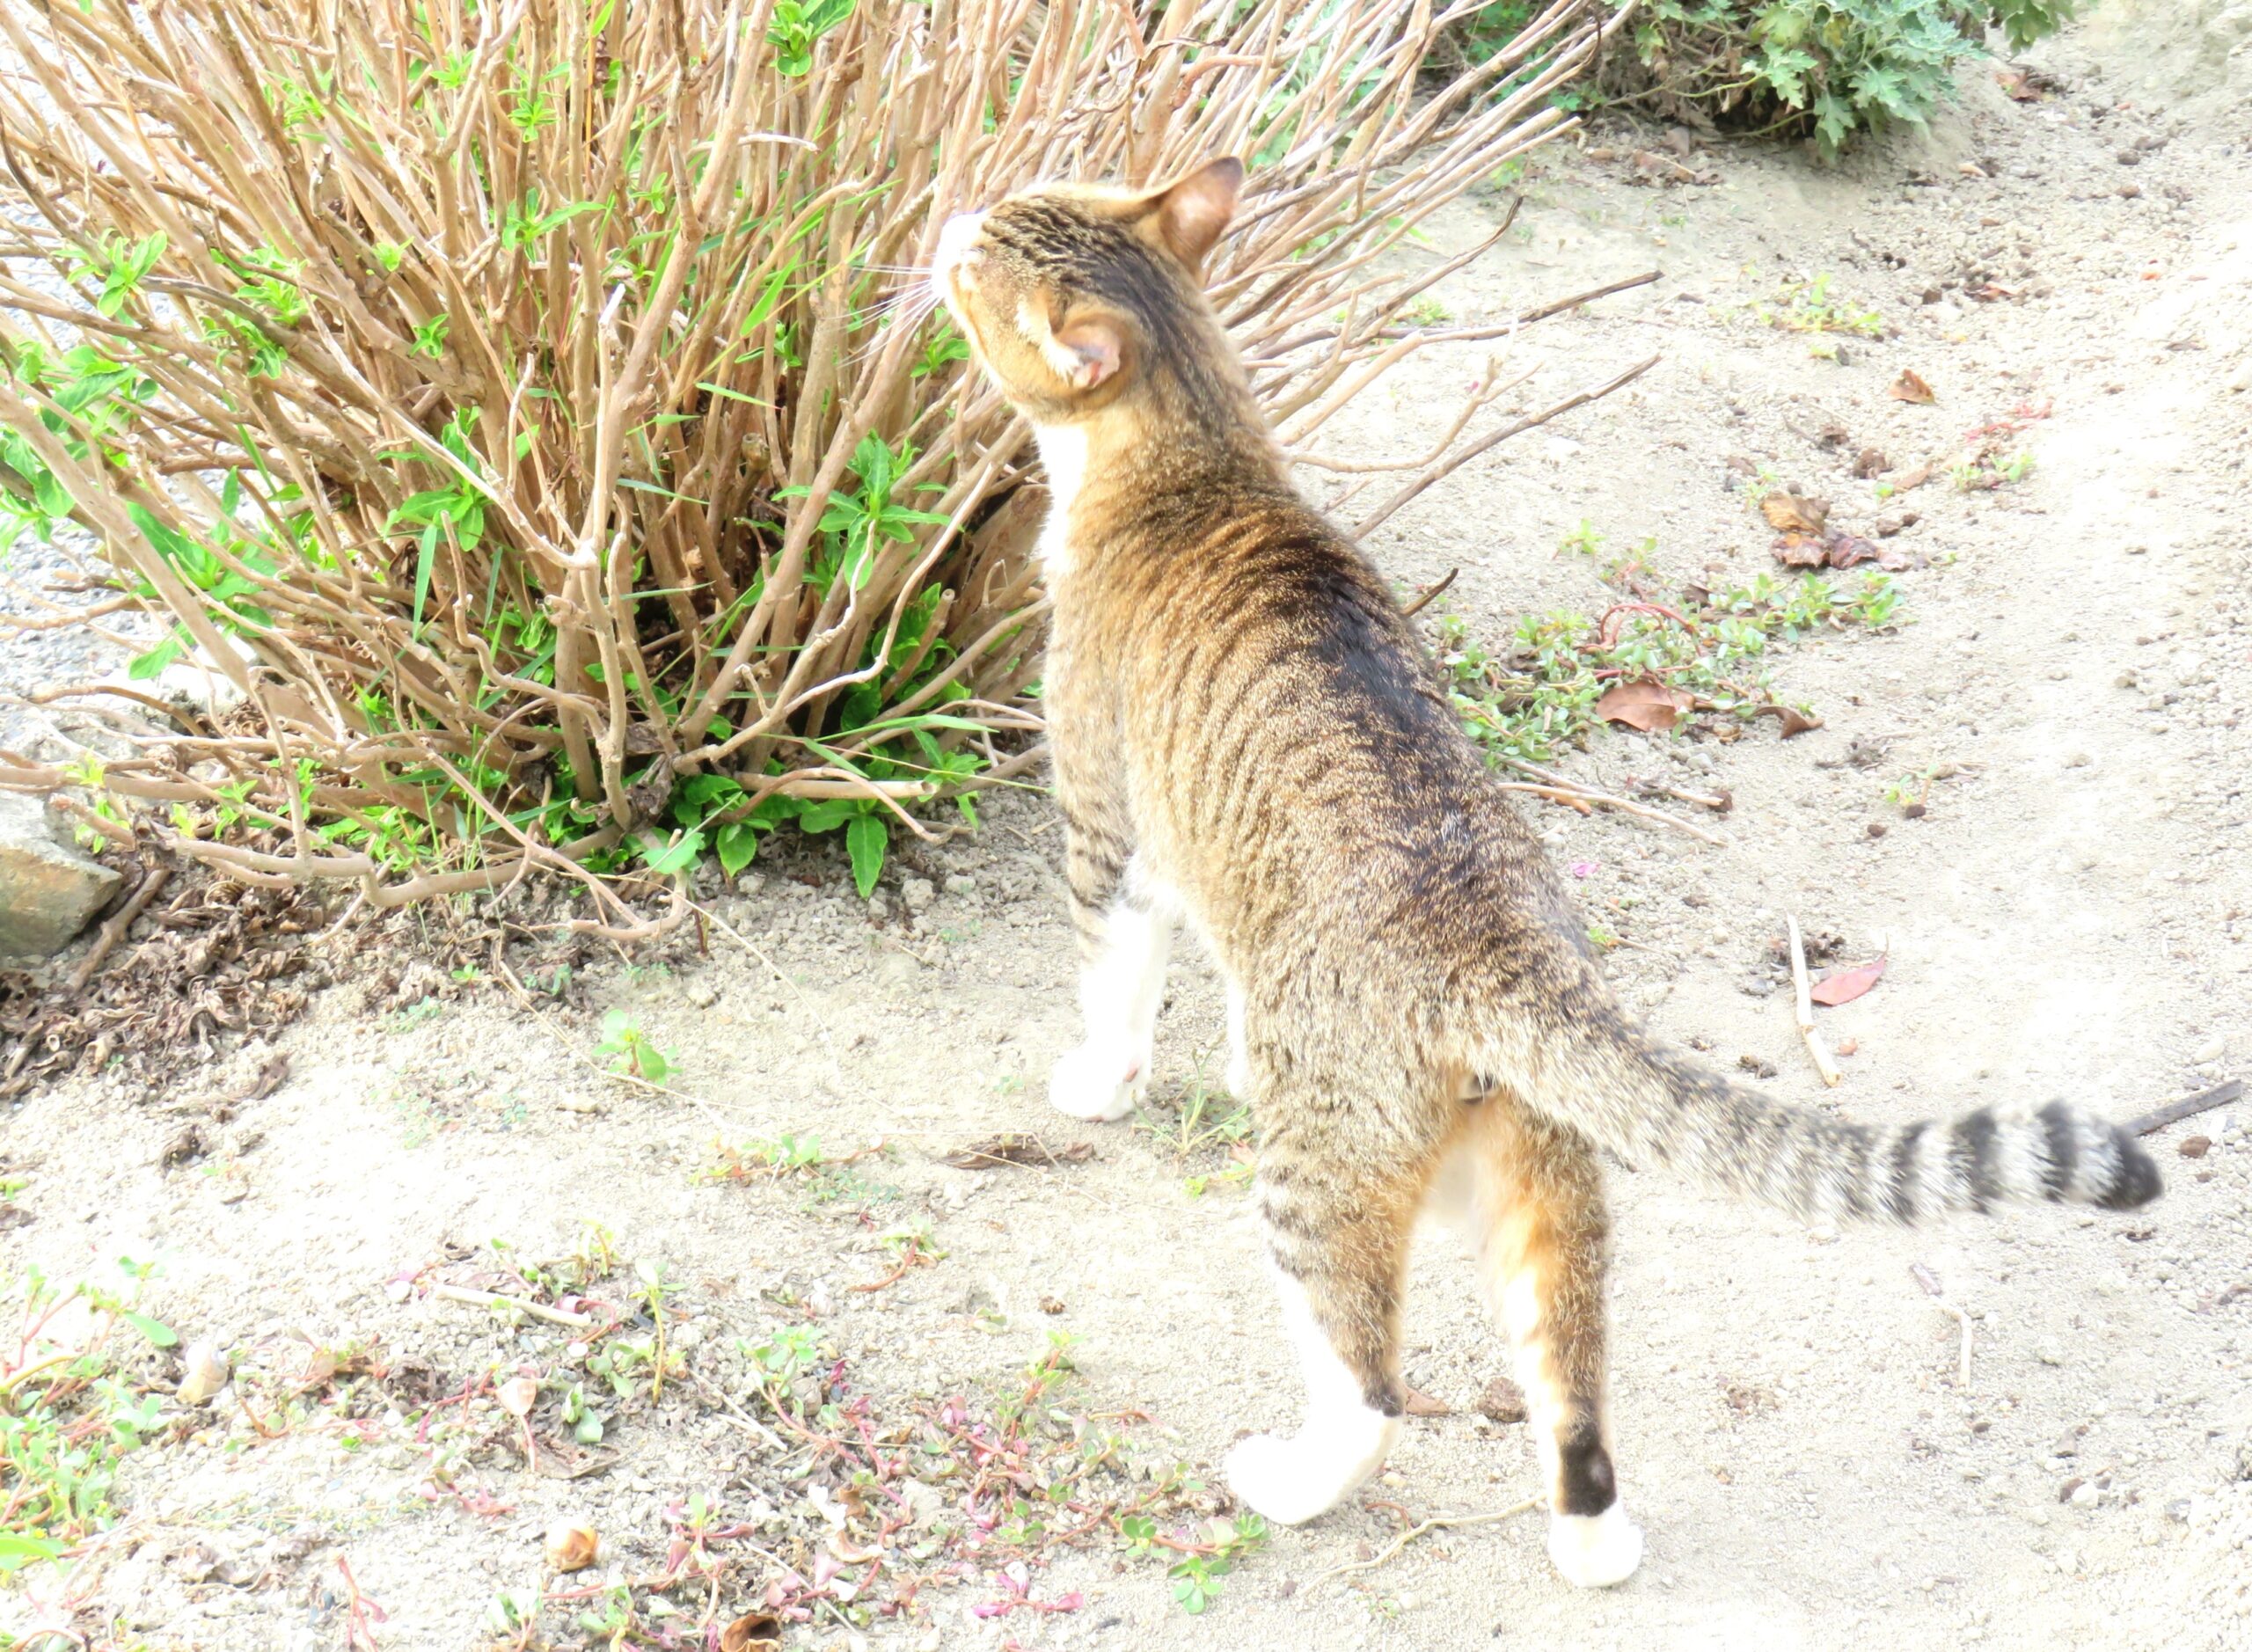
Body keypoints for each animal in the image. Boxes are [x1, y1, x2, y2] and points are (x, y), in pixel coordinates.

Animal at [923, 158, 2153, 1593]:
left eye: (979, 265)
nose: (950, 219)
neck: (1200, 455)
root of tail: (1492, 941)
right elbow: (1230, 984)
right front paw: (1229, 1052)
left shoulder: (1105, 820)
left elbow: (1115, 984)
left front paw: (1097, 1083)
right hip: (1546, 1180)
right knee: (1572, 1379)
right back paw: (1594, 1542)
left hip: (1318, 1178)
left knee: (1370, 1380)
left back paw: (1286, 1480)